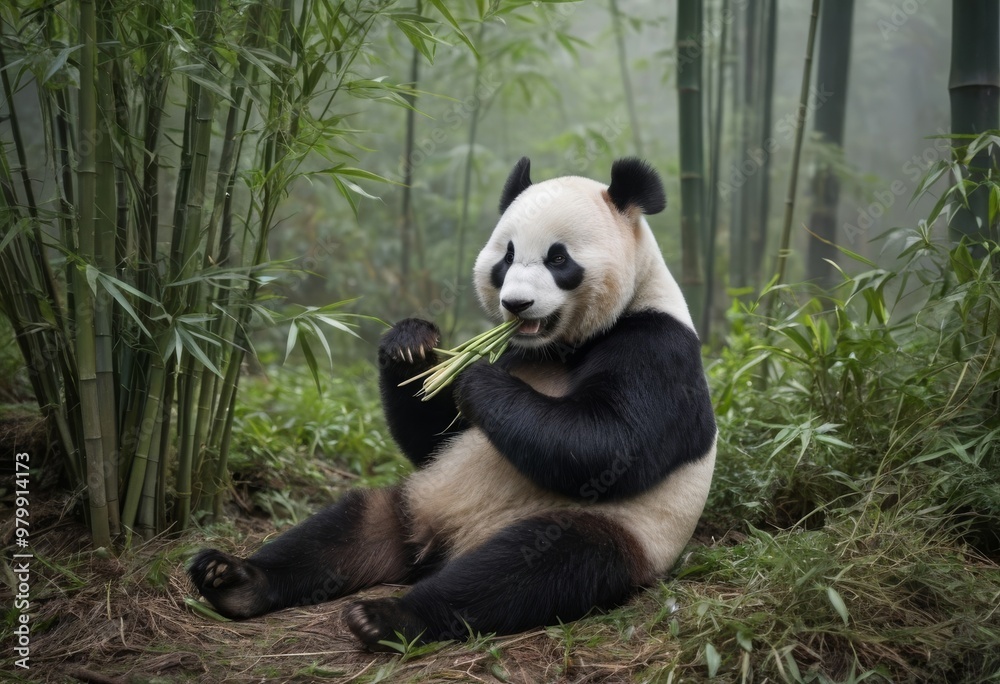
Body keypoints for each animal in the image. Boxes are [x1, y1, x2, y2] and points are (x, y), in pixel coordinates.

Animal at [188, 157, 717, 650]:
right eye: (506, 256)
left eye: (558, 258)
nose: (516, 305)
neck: (562, 347)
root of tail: (445, 545)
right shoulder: (520, 353)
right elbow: (435, 438)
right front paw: (413, 347)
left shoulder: (657, 347)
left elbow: (608, 444)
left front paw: (471, 376)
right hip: (418, 499)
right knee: (347, 526)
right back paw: (233, 579)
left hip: (612, 531)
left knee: (530, 569)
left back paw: (388, 617)